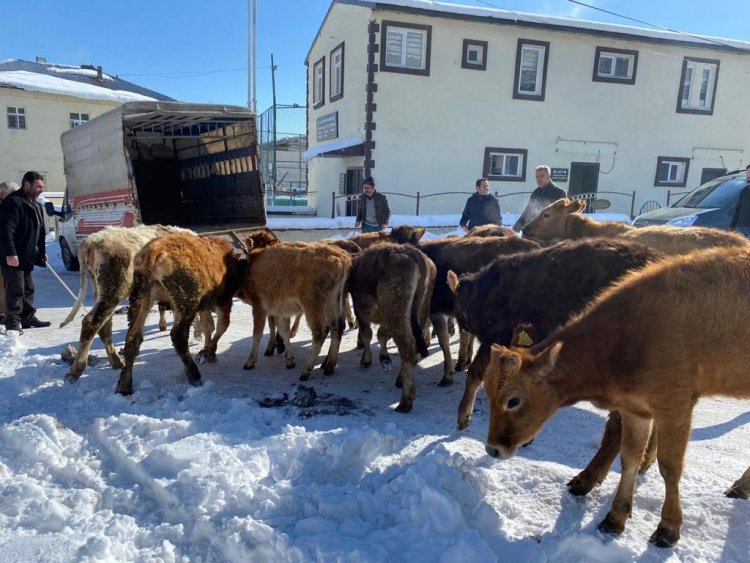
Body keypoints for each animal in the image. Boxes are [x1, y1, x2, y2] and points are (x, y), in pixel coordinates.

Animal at [117, 231, 247, 394]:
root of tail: (152, 253)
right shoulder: (222, 301)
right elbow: (222, 325)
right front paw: (208, 352)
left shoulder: (203, 306)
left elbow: (208, 327)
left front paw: (208, 351)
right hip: (185, 302)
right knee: (178, 334)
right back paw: (194, 374)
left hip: (141, 299)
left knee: (133, 337)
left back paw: (124, 384)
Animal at [350, 243, 438, 414]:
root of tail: (410, 251)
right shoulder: (384, 318)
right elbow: (381, 334)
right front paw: (384, 358)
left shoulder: (360, 311)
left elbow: (367, 334)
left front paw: (366, 359)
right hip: (420, 309)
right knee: (415, 343)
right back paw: (401, 379)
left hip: (396, 312)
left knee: (407, 347)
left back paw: (405, 401)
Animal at [446, 238, 664, 498]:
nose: (463, 325)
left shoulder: (495, 338)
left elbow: (476, 375)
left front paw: (463, 418)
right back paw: (644, 462)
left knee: (617, 428)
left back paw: (584, 481)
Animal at [482, 247, 750, 548]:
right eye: (488, 394)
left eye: (513, 400)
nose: (493, 449)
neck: (626, 338)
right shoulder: (635, 409)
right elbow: (629, 457)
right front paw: (615, 518)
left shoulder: (675, 406)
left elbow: (670, 467)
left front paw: (668, 528)